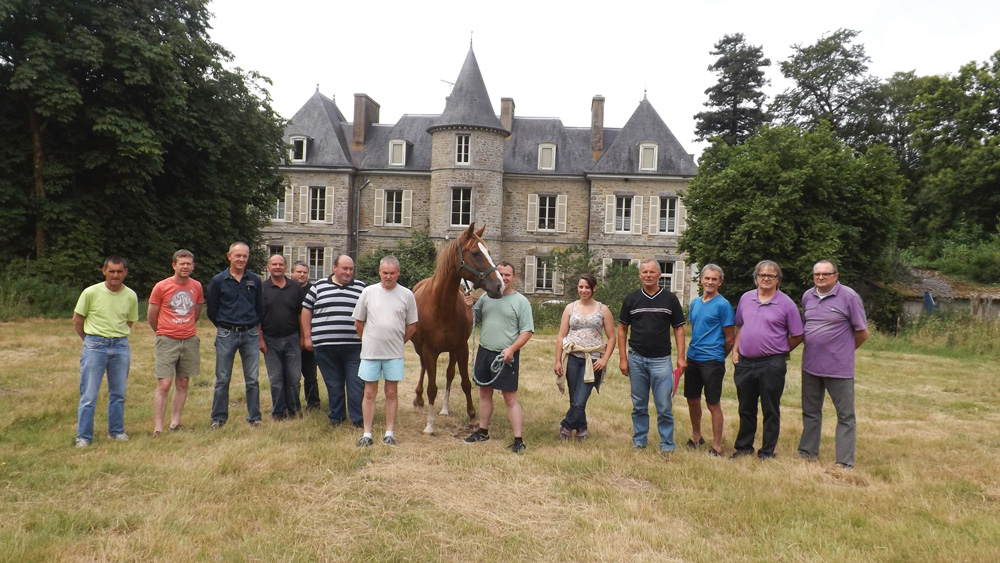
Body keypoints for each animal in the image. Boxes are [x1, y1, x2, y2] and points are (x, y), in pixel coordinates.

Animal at [408, 223, 500, 434]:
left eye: (489, 252)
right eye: (475, 253)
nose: (499, 285)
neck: (442, 306)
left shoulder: (461, 347)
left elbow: (465, 382)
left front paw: (473, 418)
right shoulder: (429, 350)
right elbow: (432, 387)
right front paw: (430, 425)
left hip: (452, 351)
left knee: (450, 373)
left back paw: (444, 409)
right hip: (420, 348)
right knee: (423, 369)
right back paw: (418, 398)